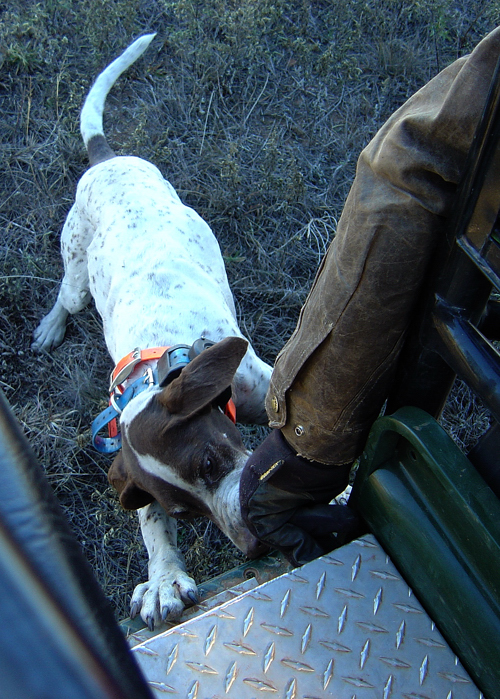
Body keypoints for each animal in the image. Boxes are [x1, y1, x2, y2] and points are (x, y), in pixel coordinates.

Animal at [32, 34, 272, 630]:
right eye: (181, 512)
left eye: (209, 462)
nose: (254, 546)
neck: (165, 361)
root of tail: (106, 159)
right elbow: (148, 526)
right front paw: (164, 577)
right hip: (78, 274)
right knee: (66, 295)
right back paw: (50, 326)